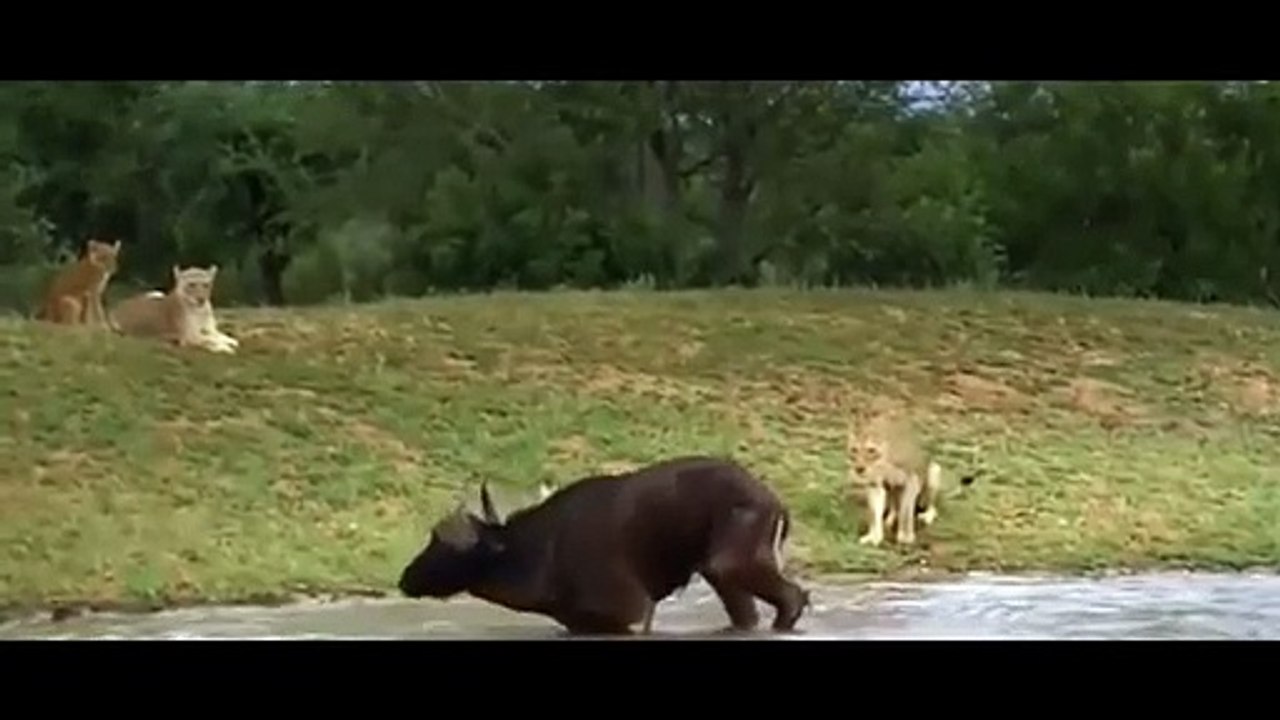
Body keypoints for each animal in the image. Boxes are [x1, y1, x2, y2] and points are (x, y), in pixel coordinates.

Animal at [110, 265, 240, 354]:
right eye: (191, 284)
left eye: (206, 285)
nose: (201, 299)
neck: (200, 311)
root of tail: (118, 307)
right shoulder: (190, 336)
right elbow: (209, 340)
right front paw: (225, 347)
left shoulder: (210, 330)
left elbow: (218, 335)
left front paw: (230, 340)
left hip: (157, 293)